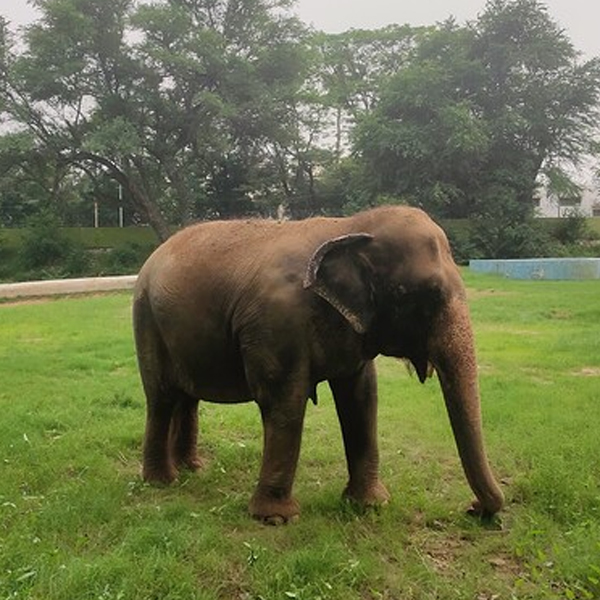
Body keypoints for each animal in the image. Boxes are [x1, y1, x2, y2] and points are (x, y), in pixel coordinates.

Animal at [132, 205, 504, 524]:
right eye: (415, 296)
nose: (473, 509)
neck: (349, 226)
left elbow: (362, 399)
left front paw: (370, 505)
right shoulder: (276, 322)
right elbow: (285, 401)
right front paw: (276, 518)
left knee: (186, 398)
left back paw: (192, 469)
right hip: (146, 319)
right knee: (161, 397)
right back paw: (163, 481)